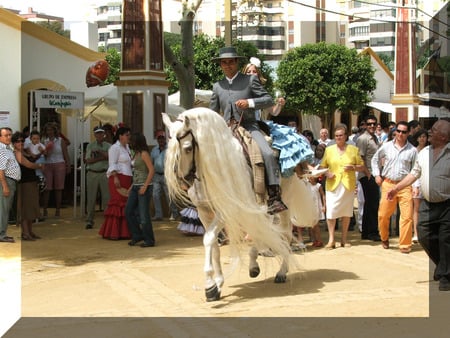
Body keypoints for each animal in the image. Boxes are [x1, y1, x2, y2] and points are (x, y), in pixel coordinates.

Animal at [163, 108, 318, 302]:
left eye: (188, 148)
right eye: (168, 146)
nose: (182, 181)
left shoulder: (227, 210)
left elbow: (209, 239)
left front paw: (209, 285)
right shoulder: (204, 212)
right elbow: (214, 246)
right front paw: (217, 284)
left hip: (283, 203)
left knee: (284, 232)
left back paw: (282, 272)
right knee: (263, 229)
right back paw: (254, 265)